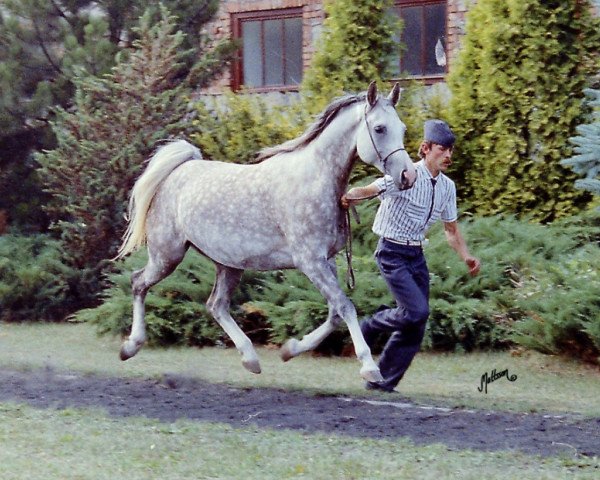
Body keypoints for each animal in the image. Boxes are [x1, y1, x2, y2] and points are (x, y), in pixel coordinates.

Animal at [117, 81, 418, 382]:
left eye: (402, 128)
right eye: (380, 128)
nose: (408, 176)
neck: (315, 179)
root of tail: (178, 170)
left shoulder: (326, 261)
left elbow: (334, 313)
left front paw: (290, 349)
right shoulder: (310, 262)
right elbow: (345, 307)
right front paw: (369, 368)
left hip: (228, 264)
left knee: (216, 305)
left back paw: (250, 359)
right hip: (167, 256)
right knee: (138, 282)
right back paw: (130, 346)